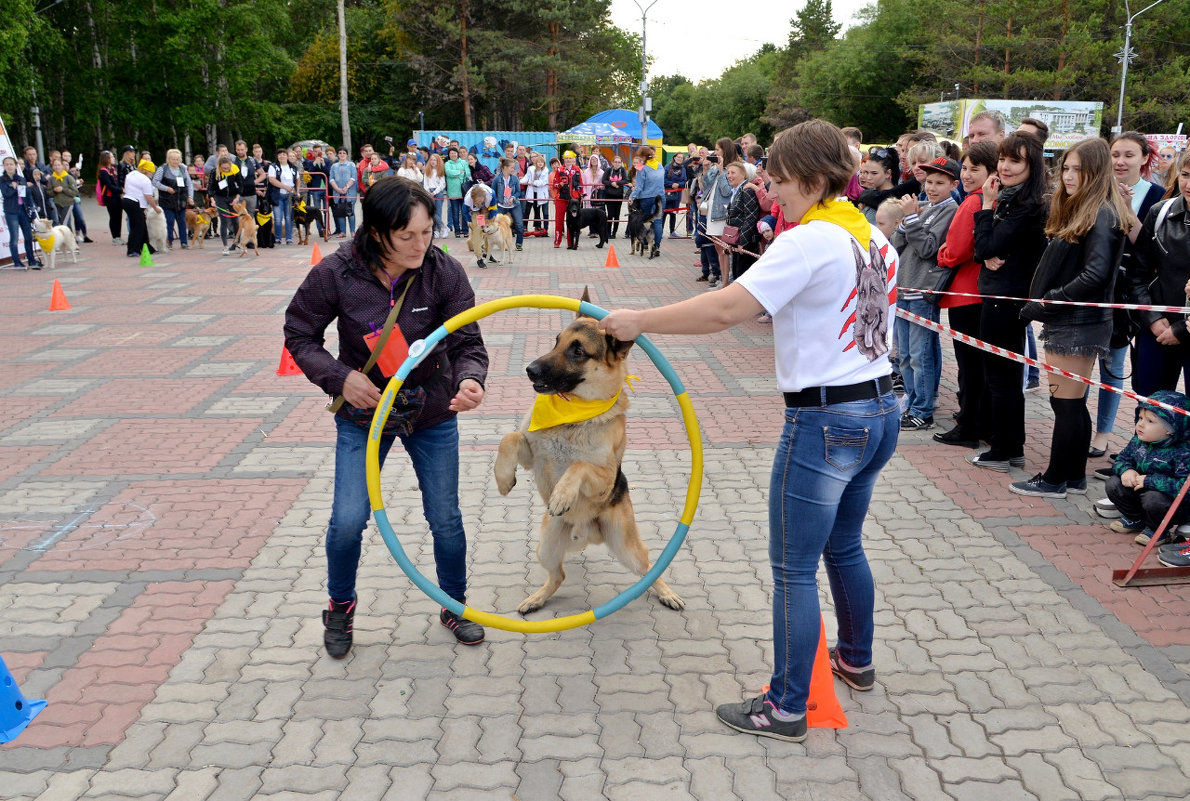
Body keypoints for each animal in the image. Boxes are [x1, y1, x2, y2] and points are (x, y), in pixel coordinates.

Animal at [490, 288, 680, 614]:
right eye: (556, 341)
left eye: (578, 351)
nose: (530, 370)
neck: (573, 414)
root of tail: (586, 532)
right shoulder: (531, 453)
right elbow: (510, 437)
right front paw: (503, 479)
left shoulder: (603, 478)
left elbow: (579, 466)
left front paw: (563, 495)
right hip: (546, 545)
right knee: (559, 575)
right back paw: (537, 598)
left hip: (627, 546)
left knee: (649, 569)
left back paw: (667, 593)